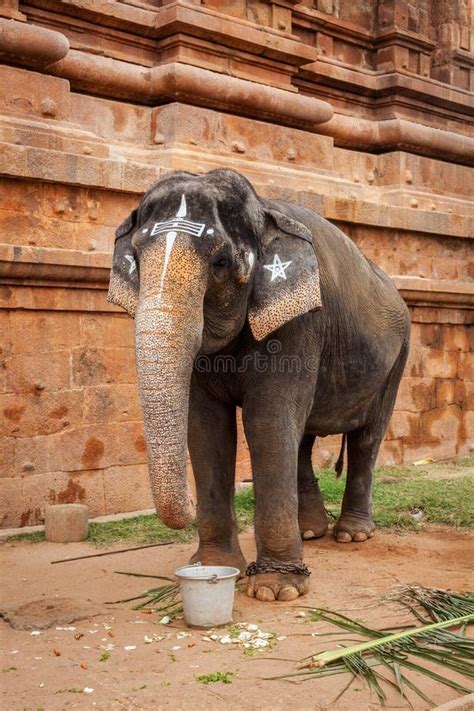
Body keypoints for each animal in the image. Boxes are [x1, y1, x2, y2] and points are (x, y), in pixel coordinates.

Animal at [108, 170, 412, 604]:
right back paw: (310, 532)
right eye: (134, 259)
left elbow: (266, 420)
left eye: (220, 263)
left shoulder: (301, 321)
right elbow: (207, 428)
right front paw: (214, 568)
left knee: (367, 437)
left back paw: (352, 535)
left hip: (398, 355)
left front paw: (275, 590)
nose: (186, 504)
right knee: (302, 437)